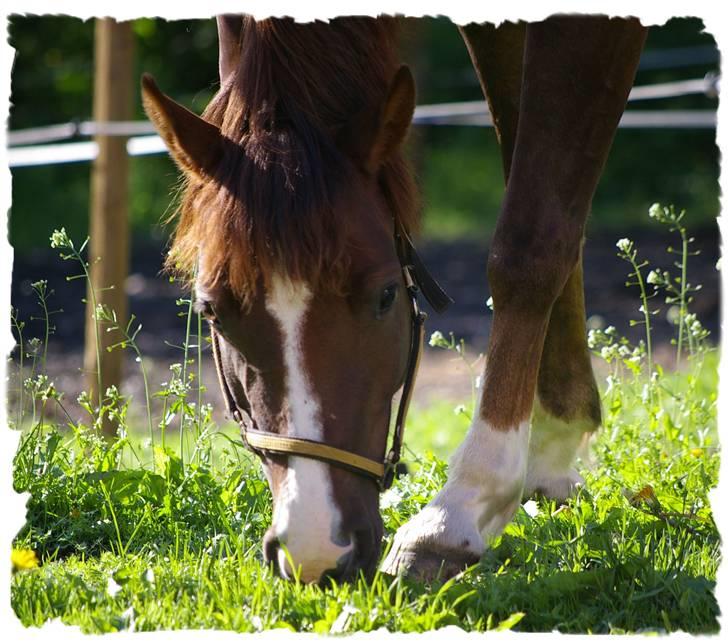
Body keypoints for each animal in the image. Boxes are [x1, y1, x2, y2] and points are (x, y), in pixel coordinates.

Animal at [141, 15, 644, 584]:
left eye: (386, 296)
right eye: (212, 312)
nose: (317, 550)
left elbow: (532, 240)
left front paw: (457, 511)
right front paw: (556, 443)